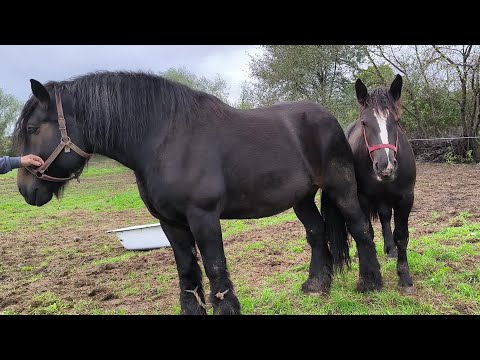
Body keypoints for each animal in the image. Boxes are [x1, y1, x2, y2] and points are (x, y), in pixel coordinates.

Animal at [15, 69, 382, 312]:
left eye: (32, 128)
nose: (25, 189)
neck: (164, 140)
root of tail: (330, 117)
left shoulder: (203, 217)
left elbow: (215, 268)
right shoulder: (170, 223)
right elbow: (187, 273)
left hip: (341, 188)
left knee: (361, 229)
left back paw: (371, 284)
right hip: (301, 198)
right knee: (317, 233)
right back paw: (316, 286)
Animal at [344, 74, 416, 292]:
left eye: (397, 120)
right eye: (364, 123)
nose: (385, 166)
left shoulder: (406, 198)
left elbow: (401, 236)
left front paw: (404, 277)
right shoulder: (362, 198)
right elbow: (366, 231)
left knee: (385, 218)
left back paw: (390, 249)